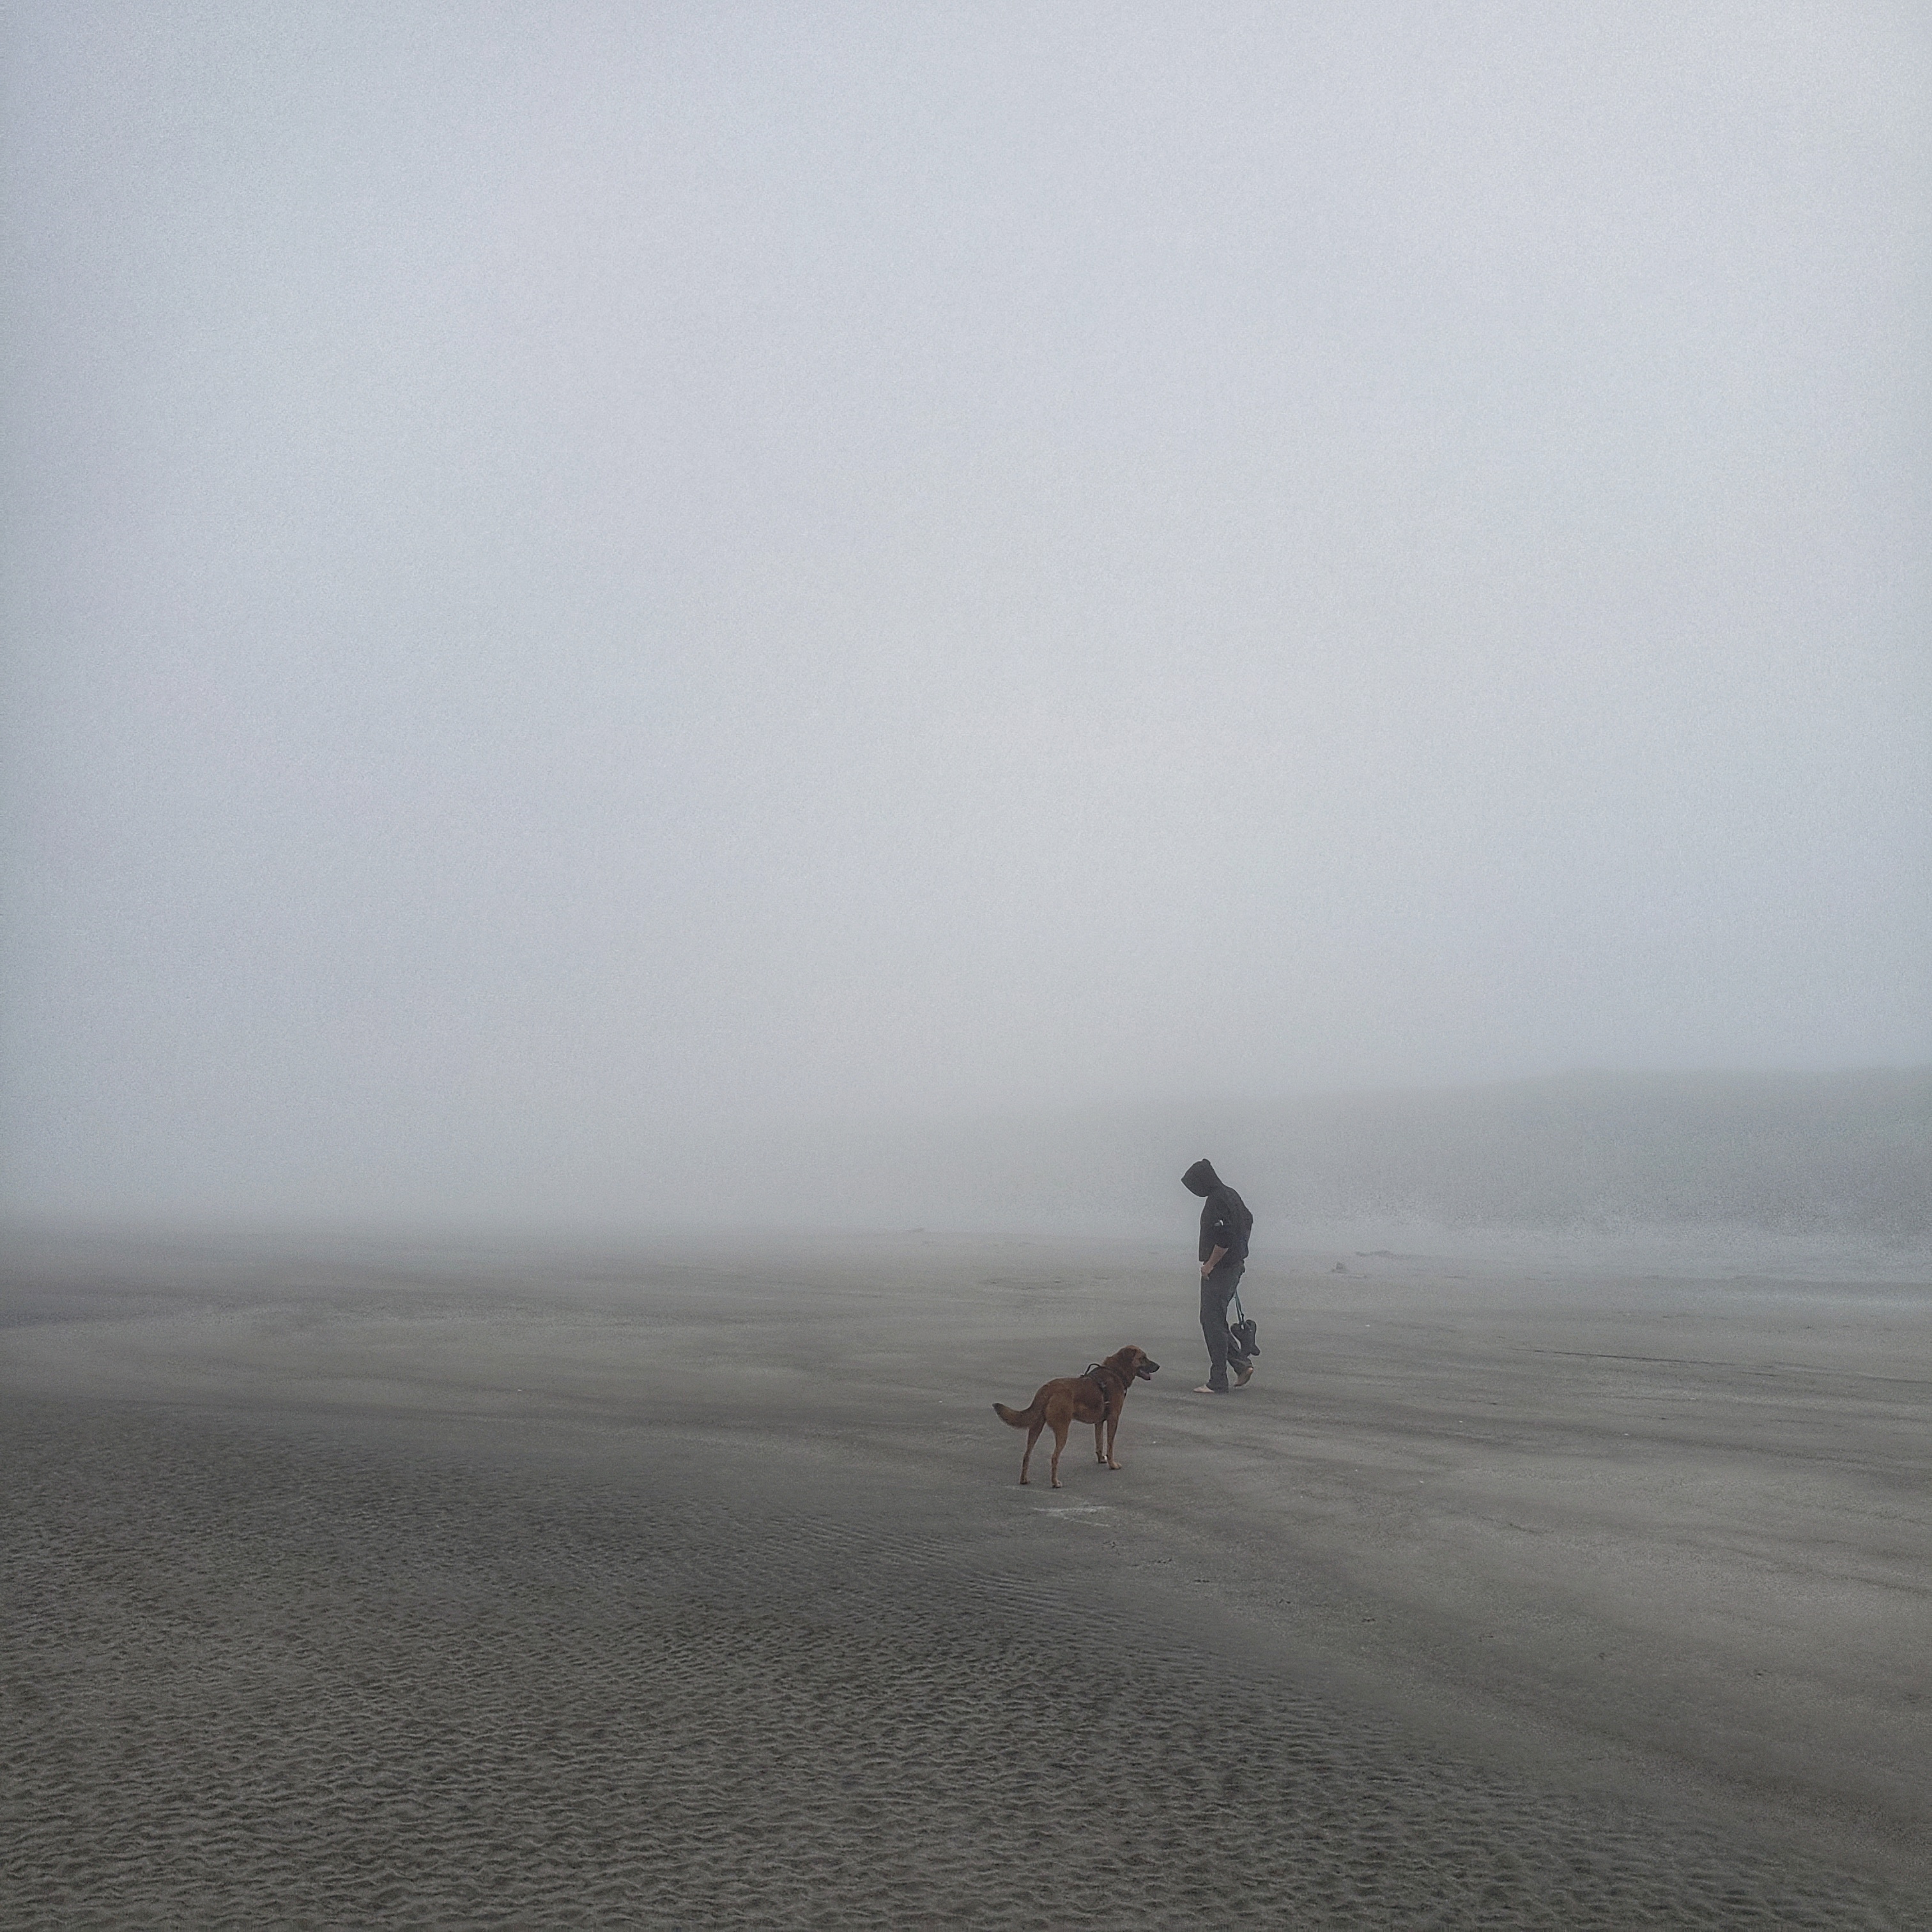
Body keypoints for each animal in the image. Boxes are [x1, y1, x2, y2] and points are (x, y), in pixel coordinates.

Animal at [991, 1345, 1160, 1487]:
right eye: (1143, 1358)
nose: (1158, 1366)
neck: (1116, 1372)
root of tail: (1047, 1389)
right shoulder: (1113, 1418)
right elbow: (1110, 1445)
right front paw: (1112, 1464)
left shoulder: (1099, 1422)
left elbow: (1099, 1443)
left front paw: (1101, 1460)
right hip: (1062, 1429)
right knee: (1054, 1457)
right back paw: (1055, 1482)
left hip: (1036, 1427)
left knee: (1027, 1454)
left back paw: (1024, 1480)